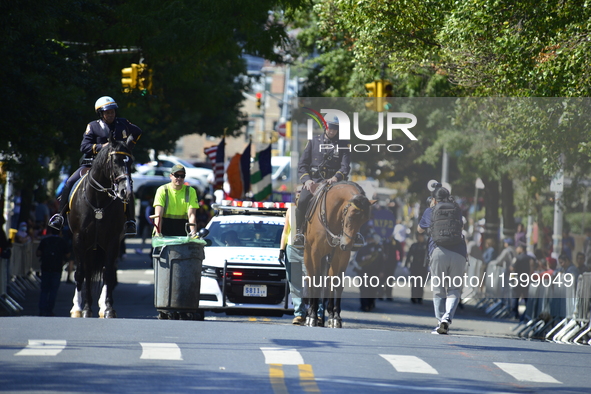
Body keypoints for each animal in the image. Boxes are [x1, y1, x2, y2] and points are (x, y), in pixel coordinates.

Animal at [68, 137, 134, 318]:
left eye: (131, 162)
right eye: (115, 160)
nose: (126, 191)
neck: (98, 200)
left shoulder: (112, 241)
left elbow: (109, 274)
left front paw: (109, 308)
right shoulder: (79, 239)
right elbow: (81, 273)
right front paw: (79, 308)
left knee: (103, 271)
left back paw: (102, 307)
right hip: (91, 246)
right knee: (87, 271)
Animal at [302, 182, 376, 326]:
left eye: (364, 220)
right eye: (351, 217)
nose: (347, 245)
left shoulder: (341, 255)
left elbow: (337, 283)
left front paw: (335, 317)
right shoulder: (315, 252)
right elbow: (316, 281)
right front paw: (312, 316)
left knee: (329, 281)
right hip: (308, 254)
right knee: (311, 278)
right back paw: (310, 314)